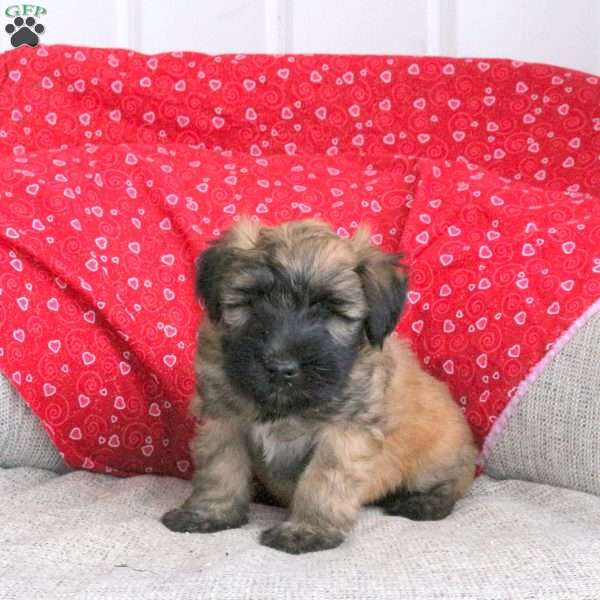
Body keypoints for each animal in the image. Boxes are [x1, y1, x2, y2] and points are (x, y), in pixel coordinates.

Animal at [162, 218, 476, 556]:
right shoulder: (223, 420)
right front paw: (208, 513)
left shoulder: (344, 434)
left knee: (453, 481)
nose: (281, 367)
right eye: (252, 300)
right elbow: (220, 469)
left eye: (328, 309)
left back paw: (423, 502)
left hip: (440, 451)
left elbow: (322, 482)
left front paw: (307, 530)